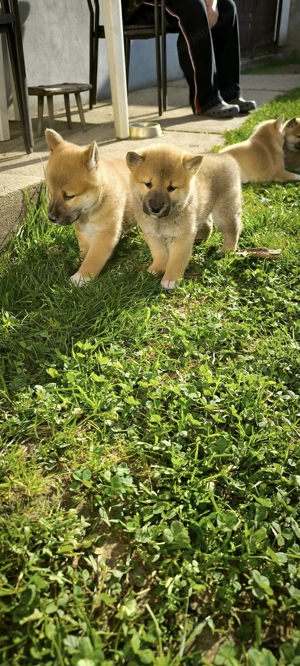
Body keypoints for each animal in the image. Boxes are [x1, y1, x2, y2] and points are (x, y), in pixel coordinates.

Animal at [125, 141, 243, 290]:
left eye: (171, 188)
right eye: (148, 184)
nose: (155, 208)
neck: (161, 221)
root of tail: (225, 157)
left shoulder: (181, 238)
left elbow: (176, 261)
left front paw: (170, 279)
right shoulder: (153, 236)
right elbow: (159, 254)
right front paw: (158, 268)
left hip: (225, 213)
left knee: (233, 231)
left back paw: (227, 251)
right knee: (208, 224)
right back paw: (200, 239)